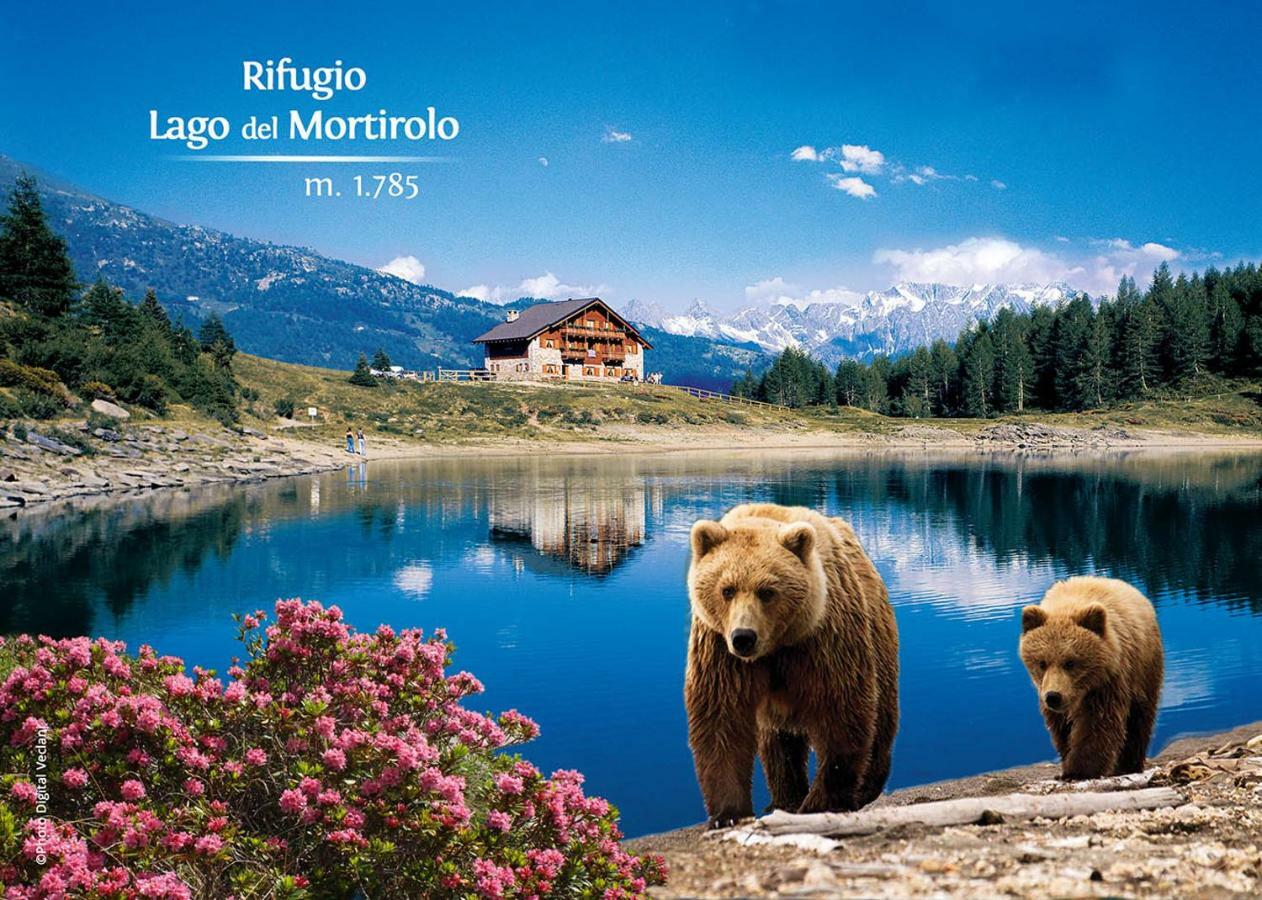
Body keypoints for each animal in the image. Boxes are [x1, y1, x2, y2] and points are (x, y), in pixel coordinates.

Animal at [686, 502, 903, 823]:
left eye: (767, 591)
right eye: (727, 589)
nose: (743, 637)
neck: (776, 646)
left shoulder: (821, 641)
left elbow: (841, 710)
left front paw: (822, 801)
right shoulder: (720, 650)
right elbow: (721, 720)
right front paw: (729, 812)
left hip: (879, 640)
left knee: (882, 717)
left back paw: (867, 786)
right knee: (778, 744)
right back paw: (785, 797)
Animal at [1014, 575, 1161, 777]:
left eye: (1070, 662)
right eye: (1042, 663)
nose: (1053, 697)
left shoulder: (1107, 682)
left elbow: (1098, 724)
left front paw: (1080, 770)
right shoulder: (1048, 692)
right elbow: (1061, 728)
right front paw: (1068, 759)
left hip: (1144, 669)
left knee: (1140, 719)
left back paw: (1129, 764)